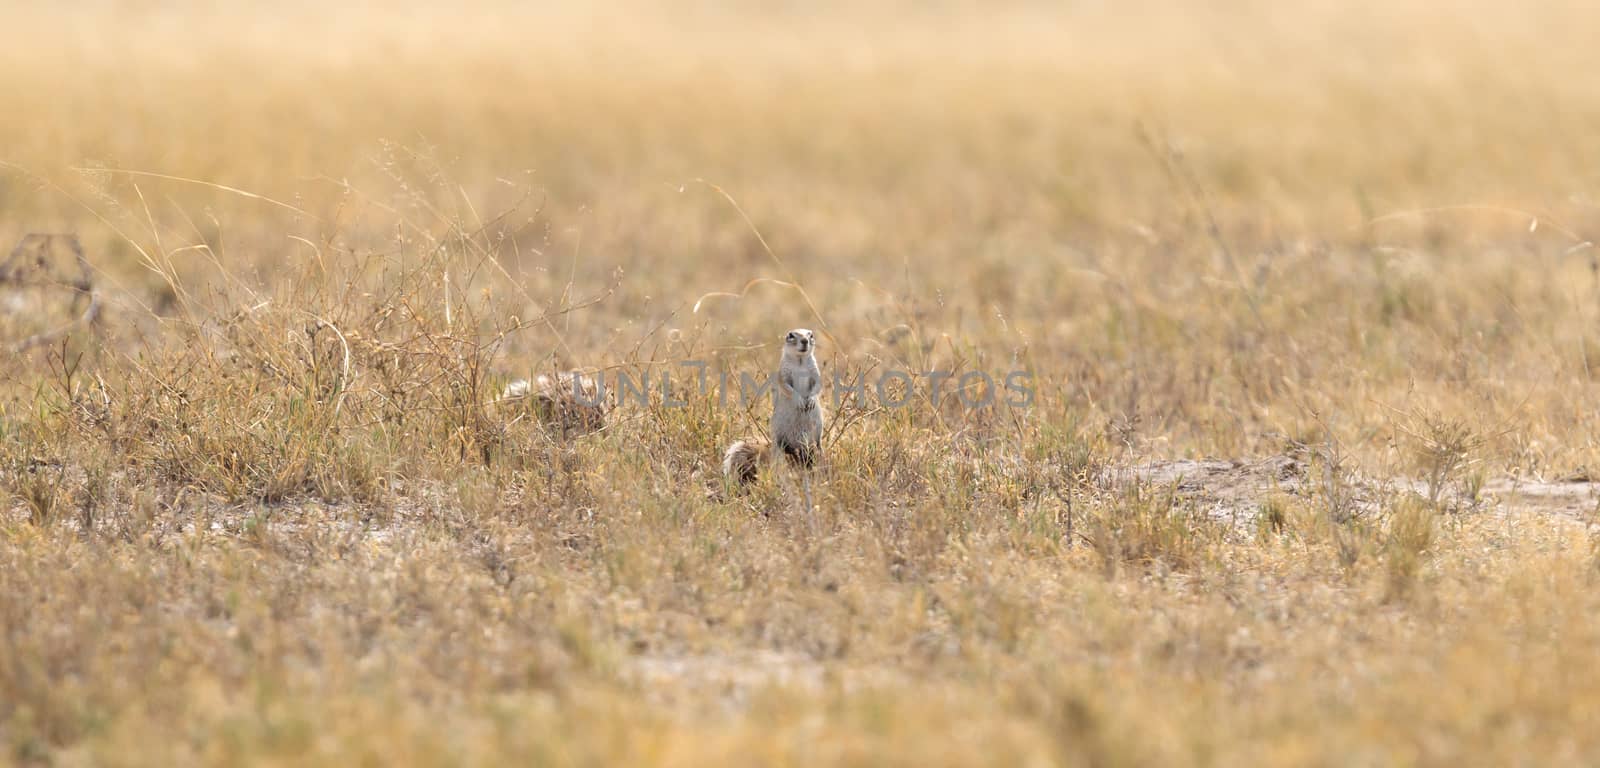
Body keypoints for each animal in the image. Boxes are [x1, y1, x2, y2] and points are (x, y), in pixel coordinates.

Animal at [726, 328, 825, 486]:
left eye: (811, 335)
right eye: (791, 335)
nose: (804, 341)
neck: (800, 361)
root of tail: (798, 450)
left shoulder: (815, 373)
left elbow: (817, 385)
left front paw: (810, 400)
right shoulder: (783, 375)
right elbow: (788, 387)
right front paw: (799, 400)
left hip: (816, 441)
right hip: (780, 445)